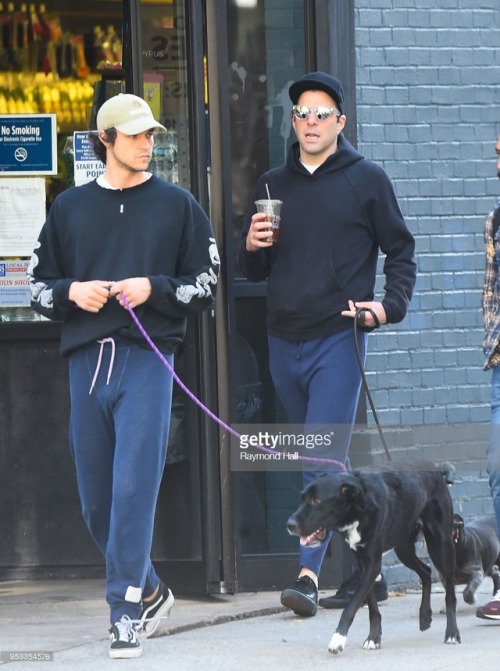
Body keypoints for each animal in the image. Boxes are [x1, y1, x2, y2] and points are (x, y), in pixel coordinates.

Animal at [286, 462, 460, 656]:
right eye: (302, 499)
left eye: (316, 501)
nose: (289, 524)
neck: (357, 508)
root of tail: (435, 469)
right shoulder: (363, 566)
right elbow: (372, 608)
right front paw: (374, 638)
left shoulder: (372, 565)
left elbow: (351, 607)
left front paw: (338, 638)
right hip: (404, 549)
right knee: (426, 571)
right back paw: (424, 616)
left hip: (441, 546)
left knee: (450, 594)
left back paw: (452, 632)